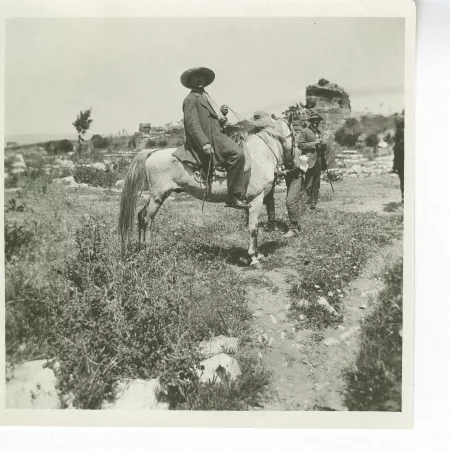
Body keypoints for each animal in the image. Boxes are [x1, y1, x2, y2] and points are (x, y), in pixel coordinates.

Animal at [118, 116, 296, 268]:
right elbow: (253, 229)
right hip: (158, 195)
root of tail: (153, 152)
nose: (293, 164)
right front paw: (253, 258)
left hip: (157, 196)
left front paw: (257, 255)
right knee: (147, 220)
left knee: (141, 215)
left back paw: (140, 250)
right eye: (294, 136)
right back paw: (147, 251)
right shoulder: (255, 200)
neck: (261, 155)